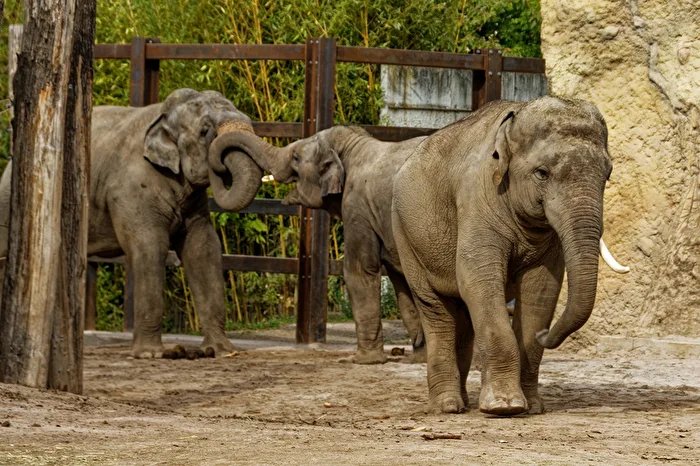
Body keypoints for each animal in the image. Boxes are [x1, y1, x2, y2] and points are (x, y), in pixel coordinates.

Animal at [0, 88, 302, 358]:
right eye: (205, 131)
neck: (162, 116)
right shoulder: (132, 187)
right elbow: (149, 247)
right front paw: (151, 354)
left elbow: (203, 249)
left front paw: (221, 351)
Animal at [274, 125, 427, 364]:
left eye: (296, 158)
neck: (352, 145)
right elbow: (402, 280)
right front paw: (420, 359)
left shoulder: (357, 207)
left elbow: (359, 270)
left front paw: (365, 361)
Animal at [391, 96, 630, 416]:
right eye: (542, 173)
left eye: (608, 174)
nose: (546, 335)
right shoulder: (477, 199)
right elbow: (476, 279)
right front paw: (505, 407)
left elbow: (541, 289)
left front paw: (532, 407)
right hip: (405, 234)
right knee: (436, 311)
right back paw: (447, 406)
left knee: (462, 317)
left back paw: (464, 403)